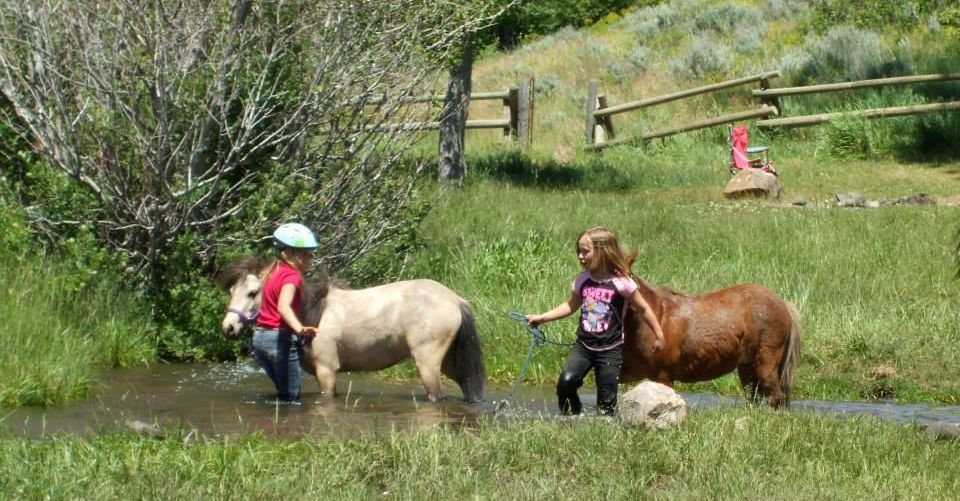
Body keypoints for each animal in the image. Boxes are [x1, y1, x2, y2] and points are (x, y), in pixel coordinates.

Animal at [620, 276, 800, 408]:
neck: (655, 317)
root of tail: (783, 304)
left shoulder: (662, 376)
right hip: (747, 368)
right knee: (755, 398)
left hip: (765, 364)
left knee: (776, 398)